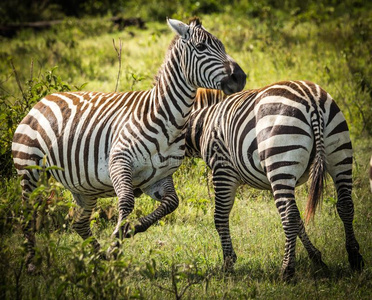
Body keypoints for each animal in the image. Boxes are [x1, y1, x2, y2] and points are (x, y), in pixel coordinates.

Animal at [11, 17, 246, 274]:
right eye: (202, 47)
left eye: (222, 46)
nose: (241, 77)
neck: (167, 119)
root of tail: (43, 99)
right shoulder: (119, 162)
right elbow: (126, 202)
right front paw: (116, 242)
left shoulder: (159, 177)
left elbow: (172, 203)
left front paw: (130, 231)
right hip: (29, 170)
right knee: (27, 216)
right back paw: (32, 263)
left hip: (84, 187)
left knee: (79, 223)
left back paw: (100, 259)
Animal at [185, 81, 364, 278]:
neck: (204, 124)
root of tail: (311, 99)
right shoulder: (270, 181)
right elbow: (300, 220)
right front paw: (316, 257)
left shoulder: (223, 169)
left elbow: (220, 216)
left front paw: (228, 264)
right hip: (338, 152)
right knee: (344, 205)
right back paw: (355, 259)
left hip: (281, 158)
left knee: (289, 215)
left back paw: (287, 270)